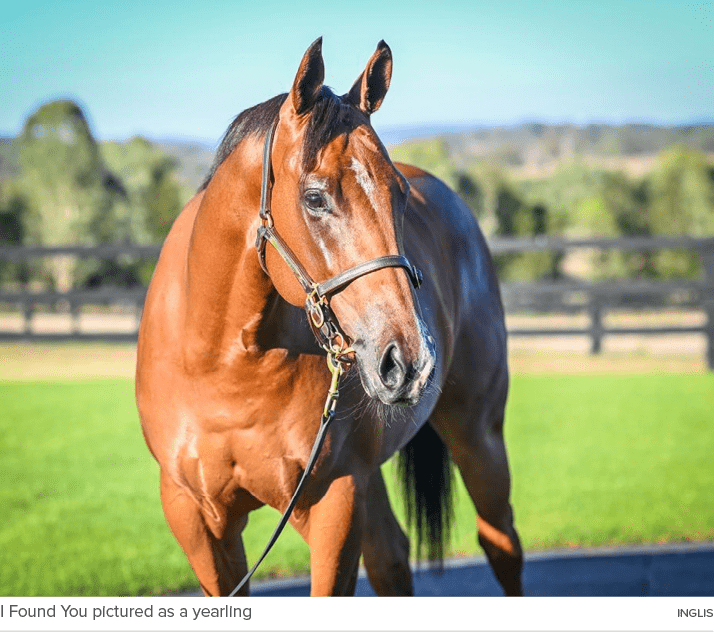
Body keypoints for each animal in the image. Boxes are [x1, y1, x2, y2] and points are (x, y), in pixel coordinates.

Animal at [135, 39, 524, 596]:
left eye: (398, 193)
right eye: (315, 197)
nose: (409, 360)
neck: (224, 365)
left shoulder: (334, 500)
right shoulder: (196, 519)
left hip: (479, 436)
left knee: (501, 543)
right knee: (392, 558)